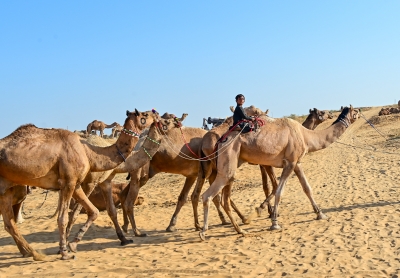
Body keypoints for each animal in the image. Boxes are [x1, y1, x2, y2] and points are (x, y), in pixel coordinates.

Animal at [0, 108, 159, 260]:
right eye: (145, 114)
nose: (157, 115)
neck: (90, 153)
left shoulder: (76, 184)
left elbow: (95, 211)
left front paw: (72, 244)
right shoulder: (72, 182)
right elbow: (65, 217)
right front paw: (65, 251)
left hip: (5, 190)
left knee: (9, 223)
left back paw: (32, 253)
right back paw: (34, 253)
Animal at [198, 105, 360, 240]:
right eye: (321, 112)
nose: (331, 114)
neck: (305, 135)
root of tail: (221, 140)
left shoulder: (297, 163)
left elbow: (307, 188)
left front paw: (320, 213)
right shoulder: (289, 163)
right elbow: (278, 191)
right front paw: (274, 221)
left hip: (231, 161)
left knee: (222, 196)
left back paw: (239, 229)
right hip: (229, 156)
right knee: (208, 195)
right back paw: (205, 231)